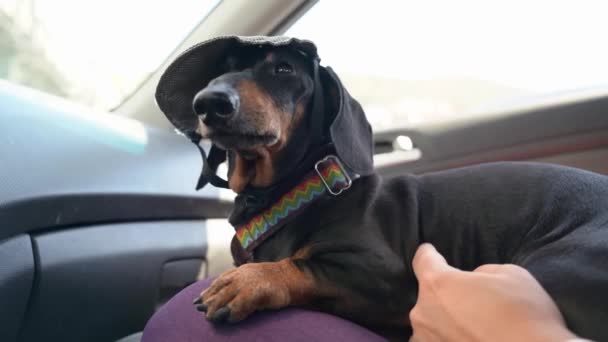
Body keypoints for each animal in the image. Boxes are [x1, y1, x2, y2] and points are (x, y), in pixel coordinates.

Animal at [156, 36, 608, 340]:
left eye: (283, 69)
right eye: (221, 69)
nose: (208, 103)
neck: (289, 195)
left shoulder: (388, 279)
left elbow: (302, 266)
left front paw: (249, 280)